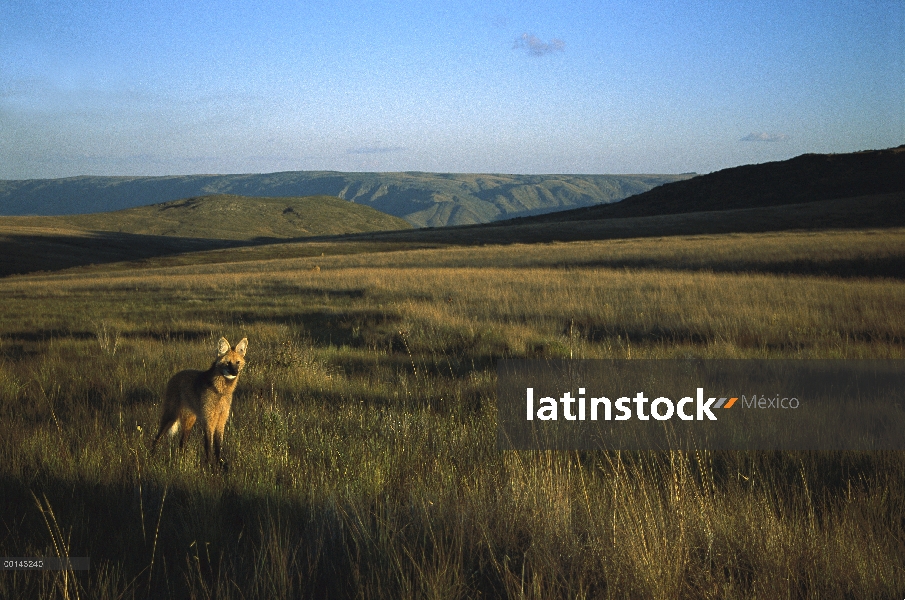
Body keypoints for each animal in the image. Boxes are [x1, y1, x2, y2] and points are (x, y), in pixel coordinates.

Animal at [152, 336, 249, 466]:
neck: (220, 391)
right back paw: (151, 458)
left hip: (189, 420)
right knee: (157, 438)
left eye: (237, 362)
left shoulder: (221, 420)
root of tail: (175, 375)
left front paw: (219, 464)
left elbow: (218, 446)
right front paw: (210, 466)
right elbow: (209, 446)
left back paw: (181, 462)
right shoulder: (208, 420)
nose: (235, 372)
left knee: (182, 444)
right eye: (228, 362)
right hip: (171, 416)